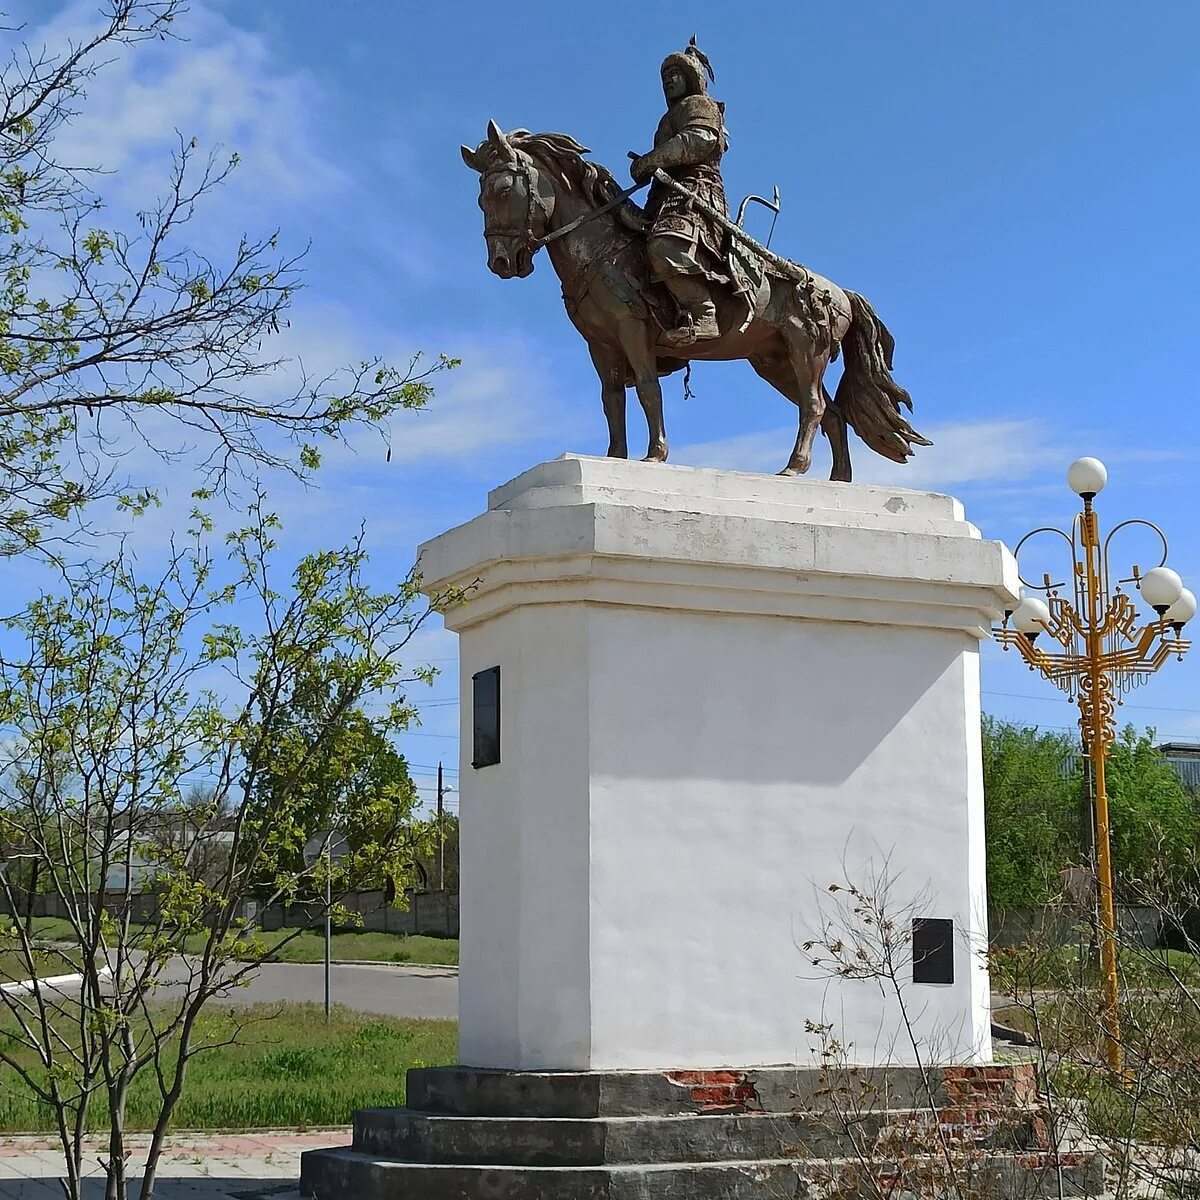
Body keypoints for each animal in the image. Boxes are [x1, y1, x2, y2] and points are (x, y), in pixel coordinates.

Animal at [460, 120, 926, 477]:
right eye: (479, 196)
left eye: (502, 191)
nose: (502, 262)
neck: (601, 249)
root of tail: (839, 292)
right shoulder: (600, 345)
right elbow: (612, 403)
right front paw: (614, 459)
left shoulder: (633, 332)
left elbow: (648, 390)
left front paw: (655, 455)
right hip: (773, 363)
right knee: (832, 414)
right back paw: (837, 480)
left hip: (805, 352)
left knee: (813, 407)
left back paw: (794, 468)